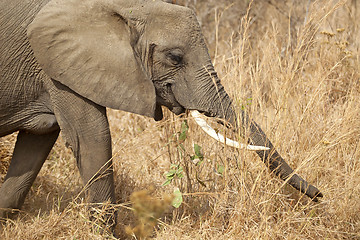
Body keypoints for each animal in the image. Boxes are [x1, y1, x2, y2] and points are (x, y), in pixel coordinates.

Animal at [0, 0, 322, 233]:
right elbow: (93, 138)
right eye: (175, 58)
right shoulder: (58, 68)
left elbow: (36, 146)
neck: (123, 8)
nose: (320, 196)